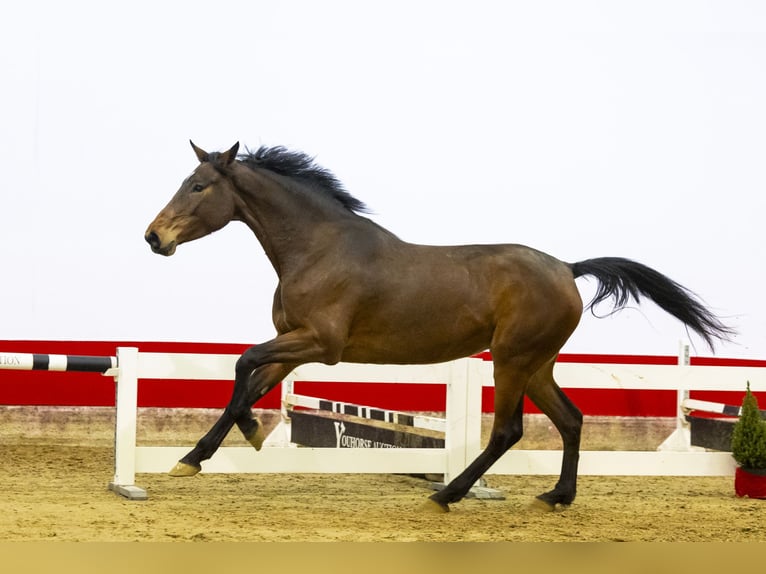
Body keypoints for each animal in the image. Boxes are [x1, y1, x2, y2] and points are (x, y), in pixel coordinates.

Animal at [147, 142, 736, 516]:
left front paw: (239, 438)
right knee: (571, 419)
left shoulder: (320, 343)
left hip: (512, 360)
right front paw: (194, 458)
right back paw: (556, 497)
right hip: (537, 364)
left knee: (508, 431)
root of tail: (567, 269)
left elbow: (243, 362)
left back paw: (447, 495)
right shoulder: (295, 347)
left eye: (198, 186)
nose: (154, 237)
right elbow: (248, 383)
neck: (318, 249)